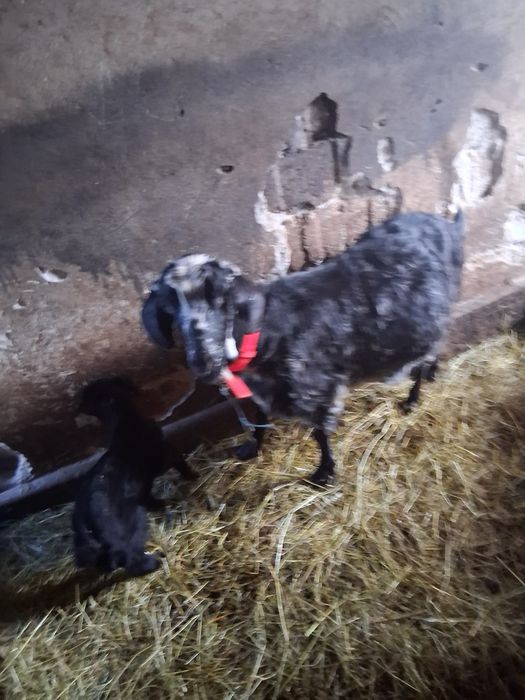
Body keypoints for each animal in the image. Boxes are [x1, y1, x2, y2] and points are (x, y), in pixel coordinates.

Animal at [72, 376, 193, 575]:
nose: (78, 405)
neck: (126, 421)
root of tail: (85, 519)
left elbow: (150, 497)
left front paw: (161, 503)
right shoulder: (167, 453)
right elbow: (181, 463)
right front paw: (193, 476)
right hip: (129, 527)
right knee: (132, 559)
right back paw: (156, 560)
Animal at [142, 211, 464, 485]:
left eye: (220, 298)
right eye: (169, 312)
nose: (203, 363)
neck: (266, 331)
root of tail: (448, 225)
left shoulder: (316, 389)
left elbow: (319, 433)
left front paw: (324, 473)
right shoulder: (269, 390)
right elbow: (259, 418)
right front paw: (251, 448)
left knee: (426, 355)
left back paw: (412, 398)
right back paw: (431, 375)